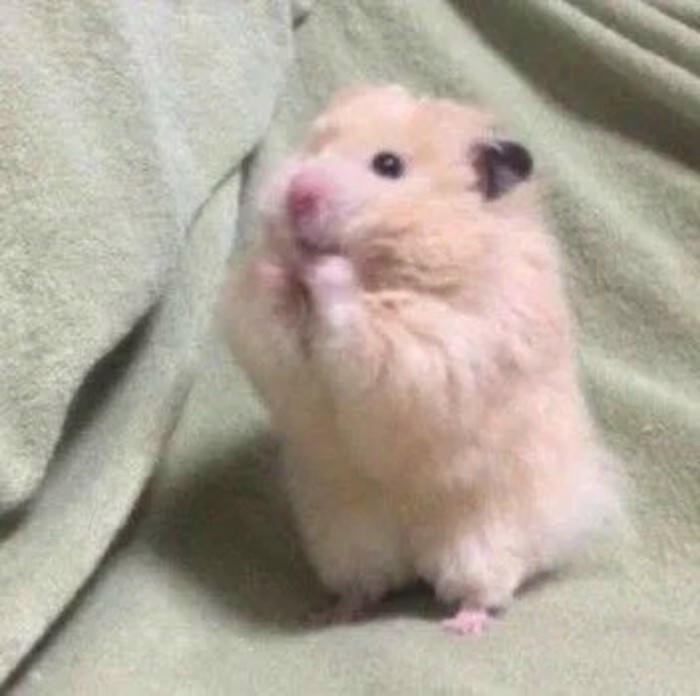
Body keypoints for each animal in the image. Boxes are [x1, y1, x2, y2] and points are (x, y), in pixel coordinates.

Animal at [222, 84, 624, 635]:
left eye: (388, 165)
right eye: (315, 147)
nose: (297, 193)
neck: (386, 269)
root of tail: (413, 553)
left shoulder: (441, 351)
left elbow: (368, 326)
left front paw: (325, 269)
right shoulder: (265, 342)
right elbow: (267, 313)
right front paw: (276, 267)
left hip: (481, 535)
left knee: (487, 586)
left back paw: (464, 625)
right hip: (346, 536)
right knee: (368, 583)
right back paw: (331, 613)